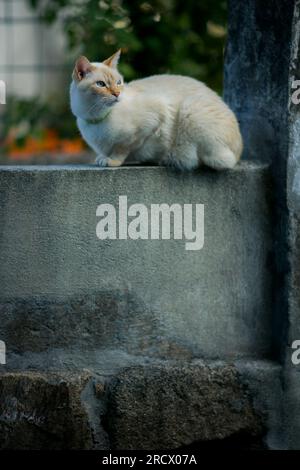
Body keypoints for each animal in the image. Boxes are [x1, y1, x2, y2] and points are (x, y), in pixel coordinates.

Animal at [71, 49, 244, 170]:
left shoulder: (153, 117)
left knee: (209, 161)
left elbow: (123, 148)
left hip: (191, 110)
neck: (96, 118)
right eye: (101, 84)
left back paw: (168, 160)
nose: (117, 94)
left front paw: (111, 160)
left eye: (119, 82)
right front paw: (102, 157)